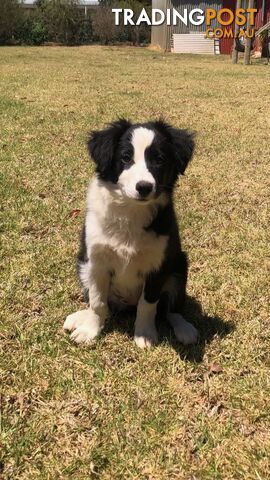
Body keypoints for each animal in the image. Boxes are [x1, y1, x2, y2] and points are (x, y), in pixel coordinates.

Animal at [63, 118, 198, 346]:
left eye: (160, 159)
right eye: (126, 157)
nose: (144, 187)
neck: (130, 209)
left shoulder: (157, 265)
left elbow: (148, 305)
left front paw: (144, 335)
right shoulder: (96, 261)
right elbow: (98, 302)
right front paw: (90, 330)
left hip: (179, 266)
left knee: (171, 309)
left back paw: (185, 329)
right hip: (82, 264)